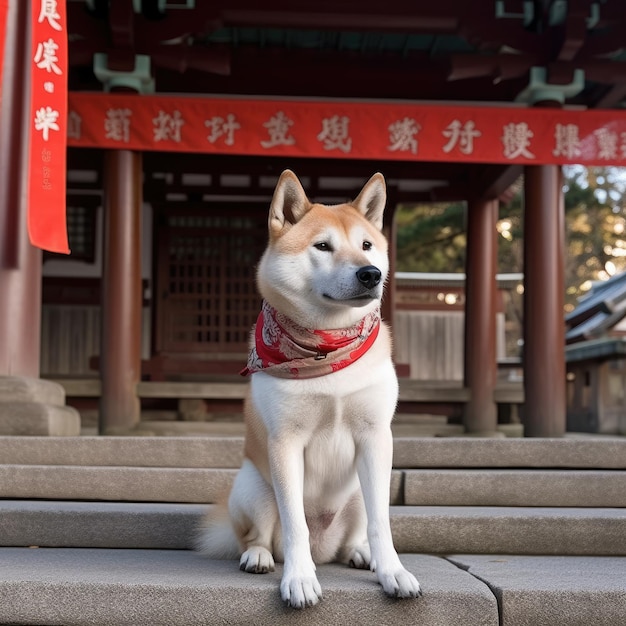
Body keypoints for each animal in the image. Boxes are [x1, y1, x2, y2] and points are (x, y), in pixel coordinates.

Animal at [195, 169, 420, 604]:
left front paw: (393, 572)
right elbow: (294, 522)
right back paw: (259, 556)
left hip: (358, 492)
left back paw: (360, 554)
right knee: (258, 535)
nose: (371, 273)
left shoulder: (375, 438)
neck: (326, 347)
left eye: (367, 245)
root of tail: (324, 546)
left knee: (355, 534)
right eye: (323, 246)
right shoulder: (285, 443)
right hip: (254, 486)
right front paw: (298, 579)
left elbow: (382, 524)